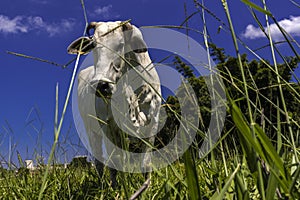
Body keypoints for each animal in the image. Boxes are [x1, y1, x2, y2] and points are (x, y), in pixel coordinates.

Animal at [67, 20, 162, 188]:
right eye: (93, 44)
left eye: (121, 44)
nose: (100, 85)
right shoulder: (108, 126)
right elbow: (114, 162)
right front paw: (116, 188)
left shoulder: (153, 122)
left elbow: (145, 163)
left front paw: (147, 186)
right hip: (92, 131)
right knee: (100, 161)